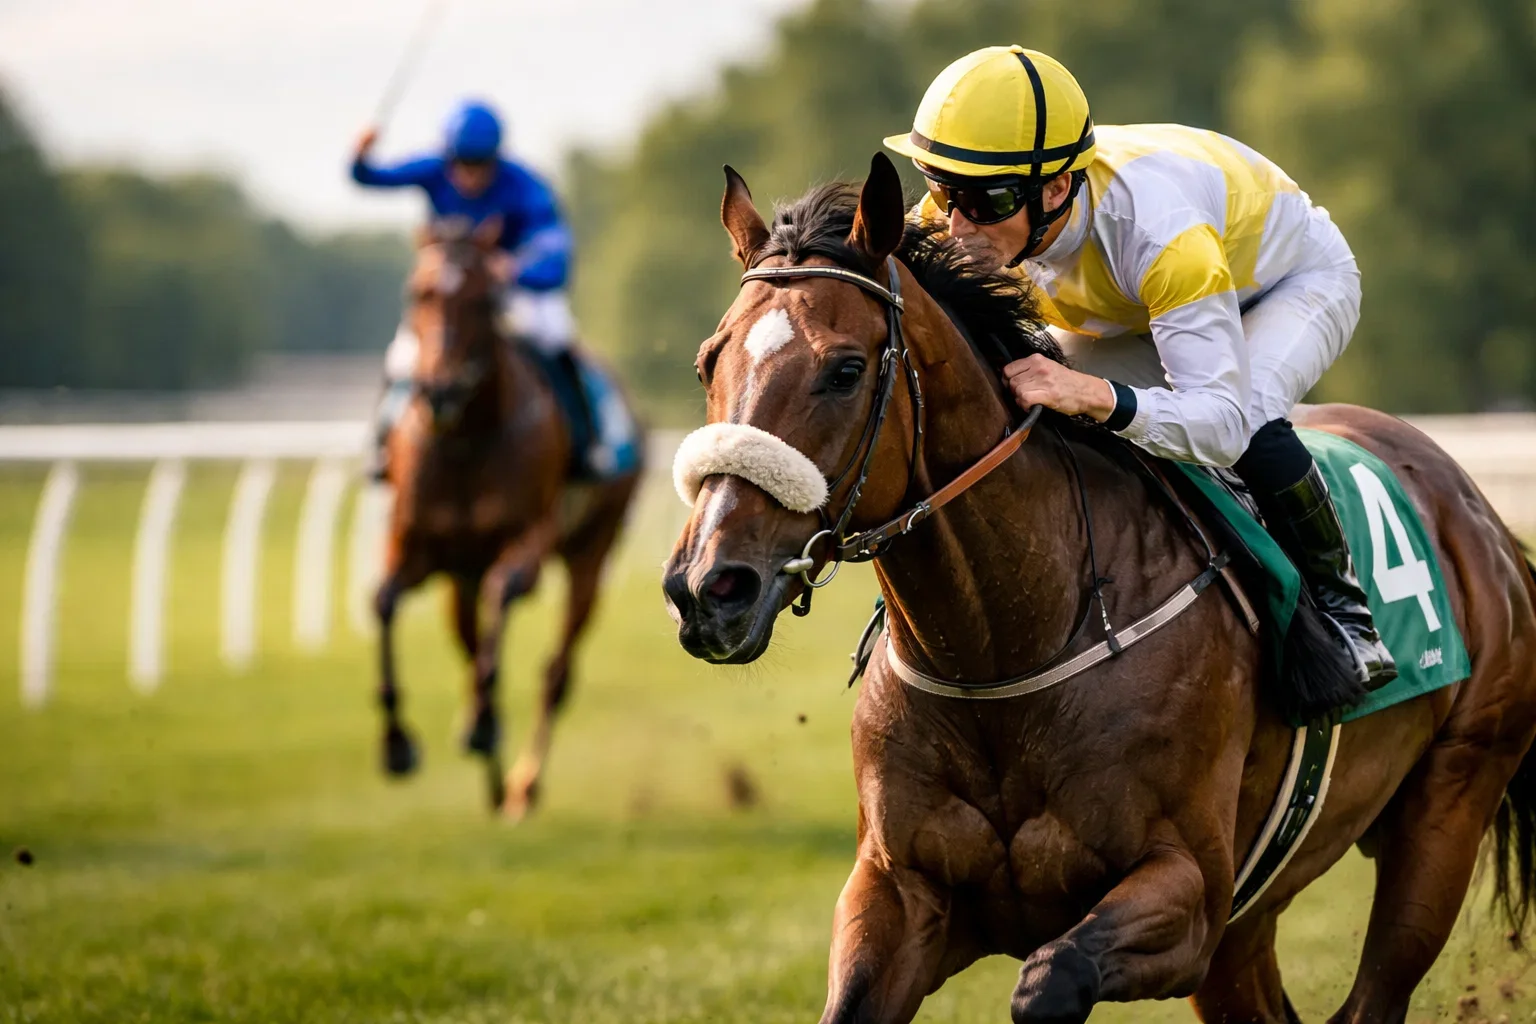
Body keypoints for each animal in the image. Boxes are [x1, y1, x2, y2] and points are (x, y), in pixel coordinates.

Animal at [375, 222, 642, 818]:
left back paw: (522, 784)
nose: (440, 390)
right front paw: (398, 744)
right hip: (459, 576)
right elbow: (382, 604)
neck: (466, 438)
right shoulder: (416, 546)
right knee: (470, 641)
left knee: (555, 673)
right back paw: (495, 776)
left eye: (486, 300)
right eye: (416, 293)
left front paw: (479, 723)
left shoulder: (529, 543)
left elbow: (505, 594)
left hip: (592, 549)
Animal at [662, 153, 1536, 1022]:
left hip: (1448, 803)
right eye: (708, 362)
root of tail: (1480, 514)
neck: (1005, 651)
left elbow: (1052, 978)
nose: (710, 587)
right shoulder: (897, 892)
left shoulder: (1191, 894)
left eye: (844, 371)